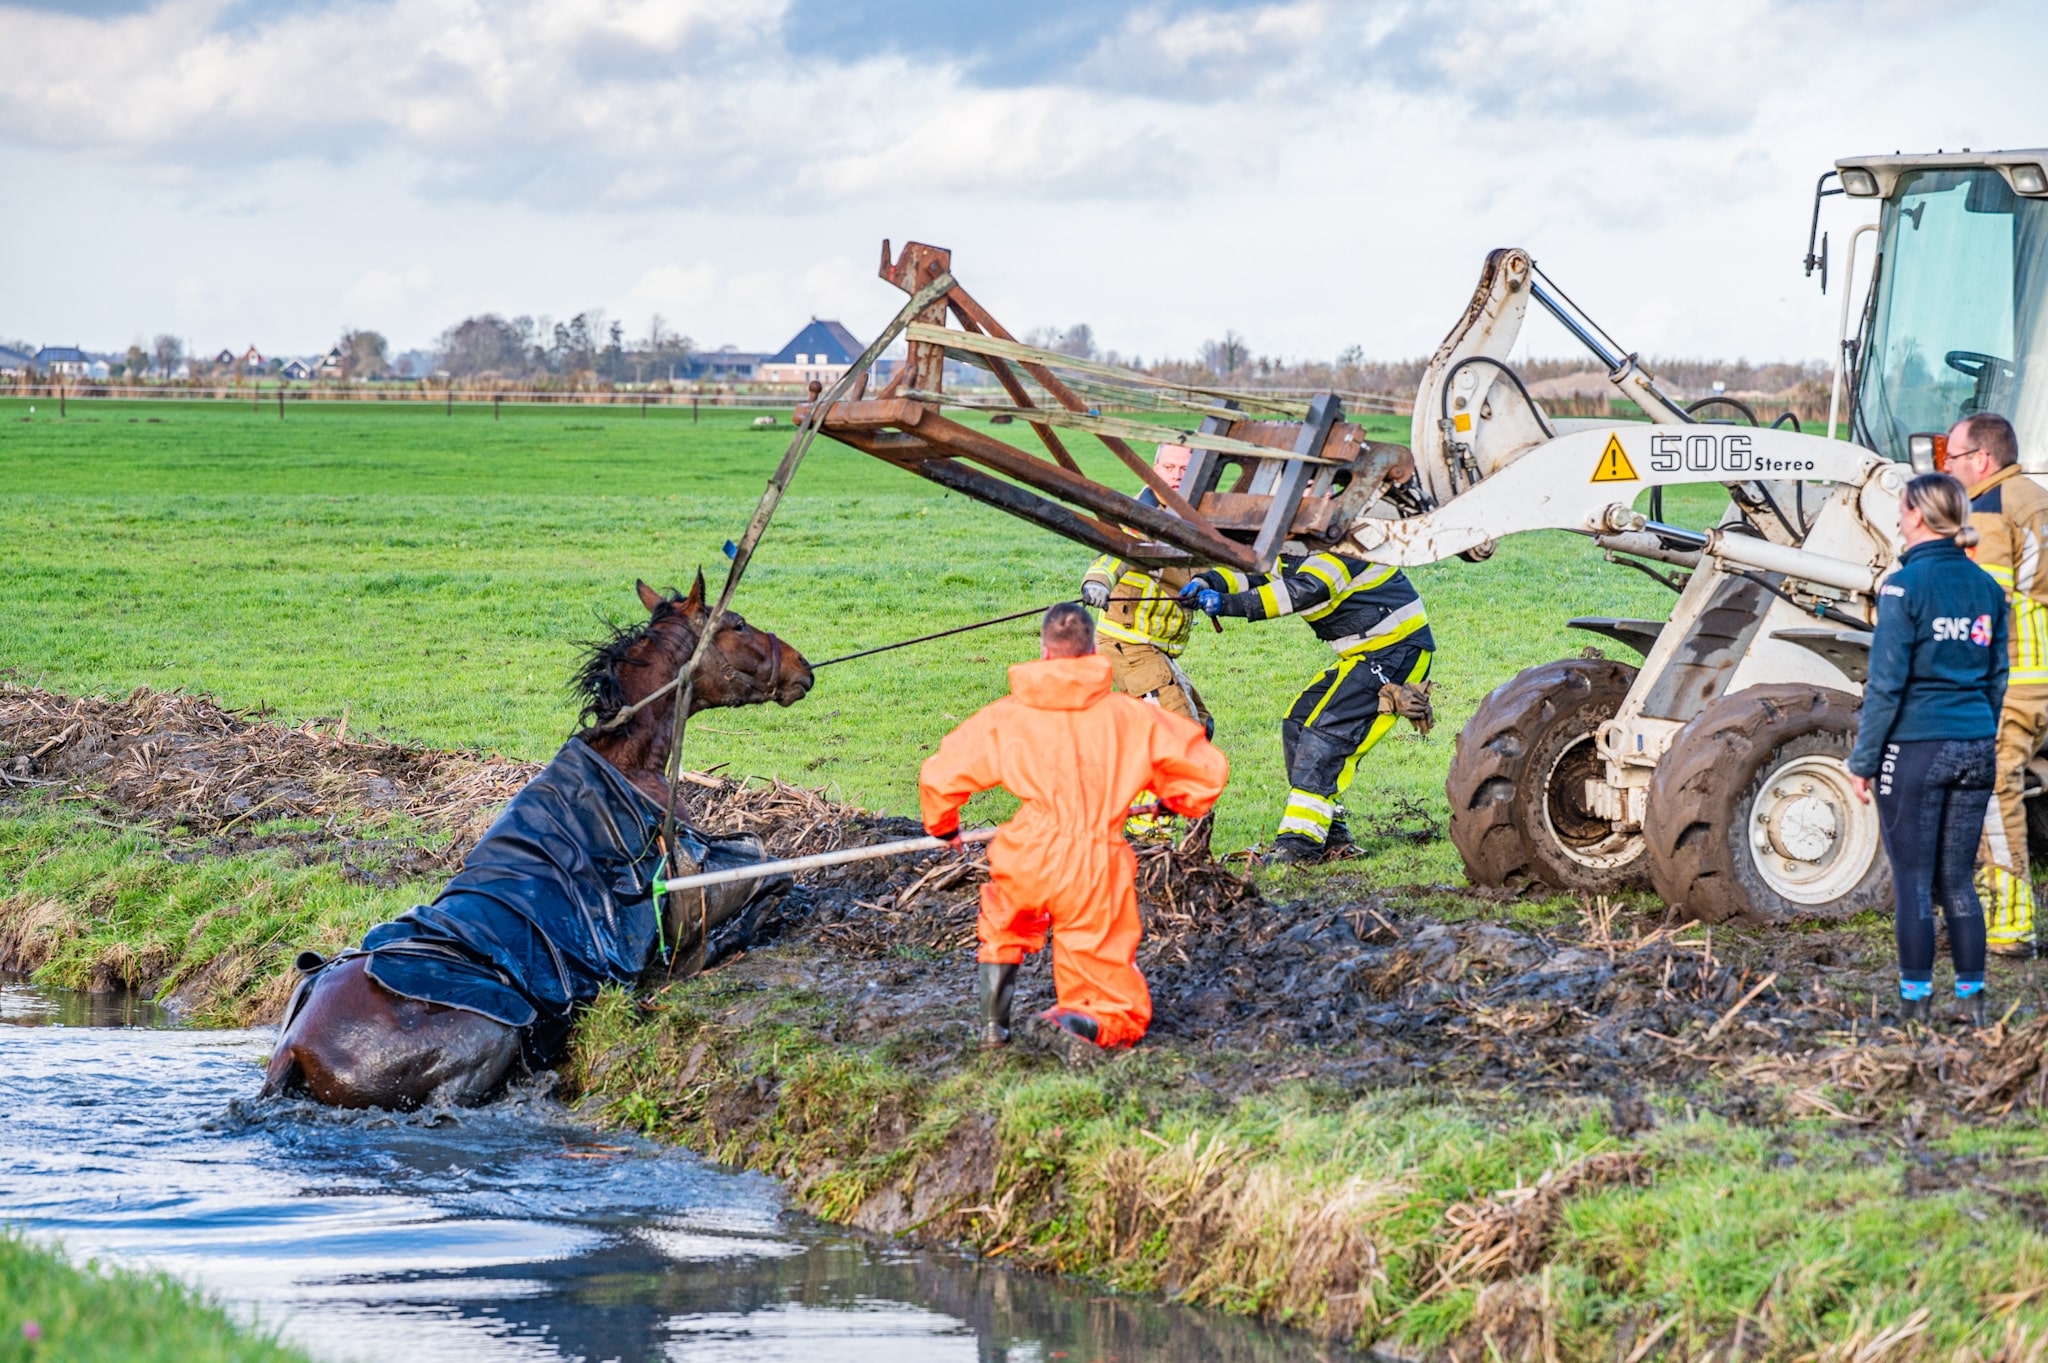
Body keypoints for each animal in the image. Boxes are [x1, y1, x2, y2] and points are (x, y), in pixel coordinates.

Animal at [261, 573, 813, 1109]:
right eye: (738, 624)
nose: (803, 667)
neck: (627, 761)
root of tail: (294, 1049)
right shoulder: (684, 886)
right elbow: (770, 873)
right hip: (488, 1044)